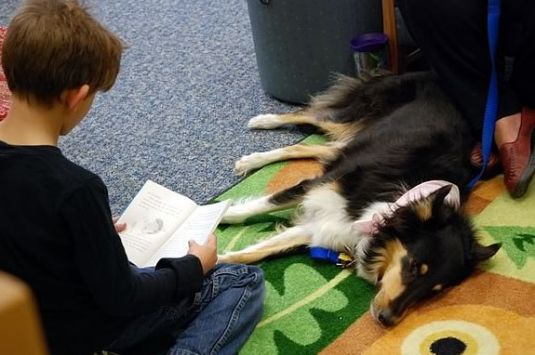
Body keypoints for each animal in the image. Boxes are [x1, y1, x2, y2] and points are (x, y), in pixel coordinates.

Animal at [218, 72, 502, 328]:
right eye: (413, 267)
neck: (391, 205)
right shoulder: (319, 188)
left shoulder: (323, 226)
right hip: (355, 113)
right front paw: (218, 214)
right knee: (309, 113)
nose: (387, 320)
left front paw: (218, 260)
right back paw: (262, 121)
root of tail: (429, 74)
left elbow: (253, 253)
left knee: (307, 147)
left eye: (435, 290)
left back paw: (251, 159)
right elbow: (259, 207)